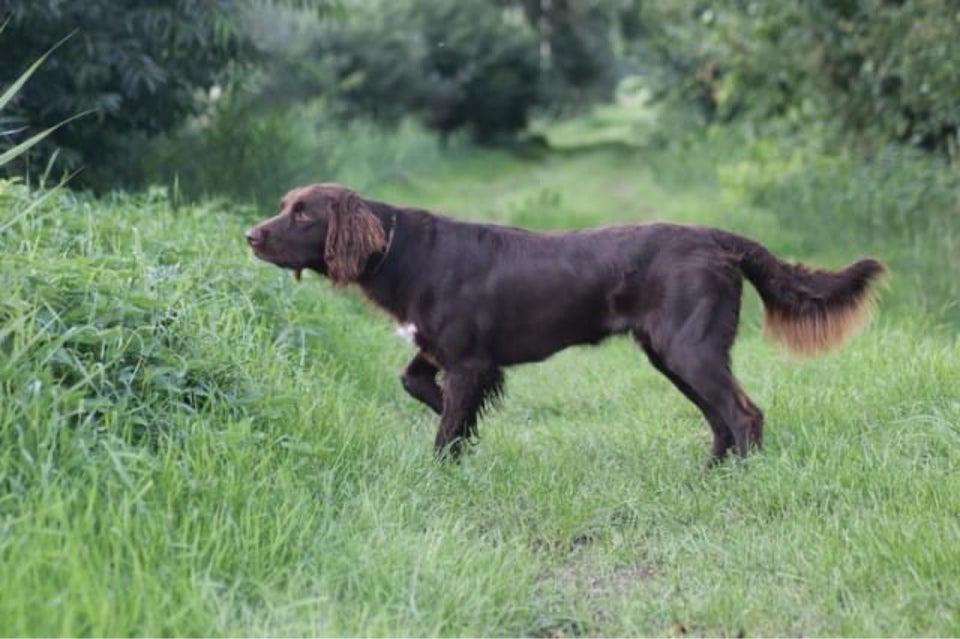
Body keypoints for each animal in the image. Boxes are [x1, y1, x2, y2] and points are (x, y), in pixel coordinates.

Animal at [246, 182, 884, 462]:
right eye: (283, 206)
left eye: (302, 214)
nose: (250, 235)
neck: (404, 253)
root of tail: (720, 239)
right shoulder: (443, 352)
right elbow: (419, 386)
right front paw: (468, 434)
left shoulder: (469, 358)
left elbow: (446, 424)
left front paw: (446, 464)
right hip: (672, 354)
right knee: (721, 417)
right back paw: (710, 472)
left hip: (690, 348)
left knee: (743, 413)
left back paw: (741, 477)